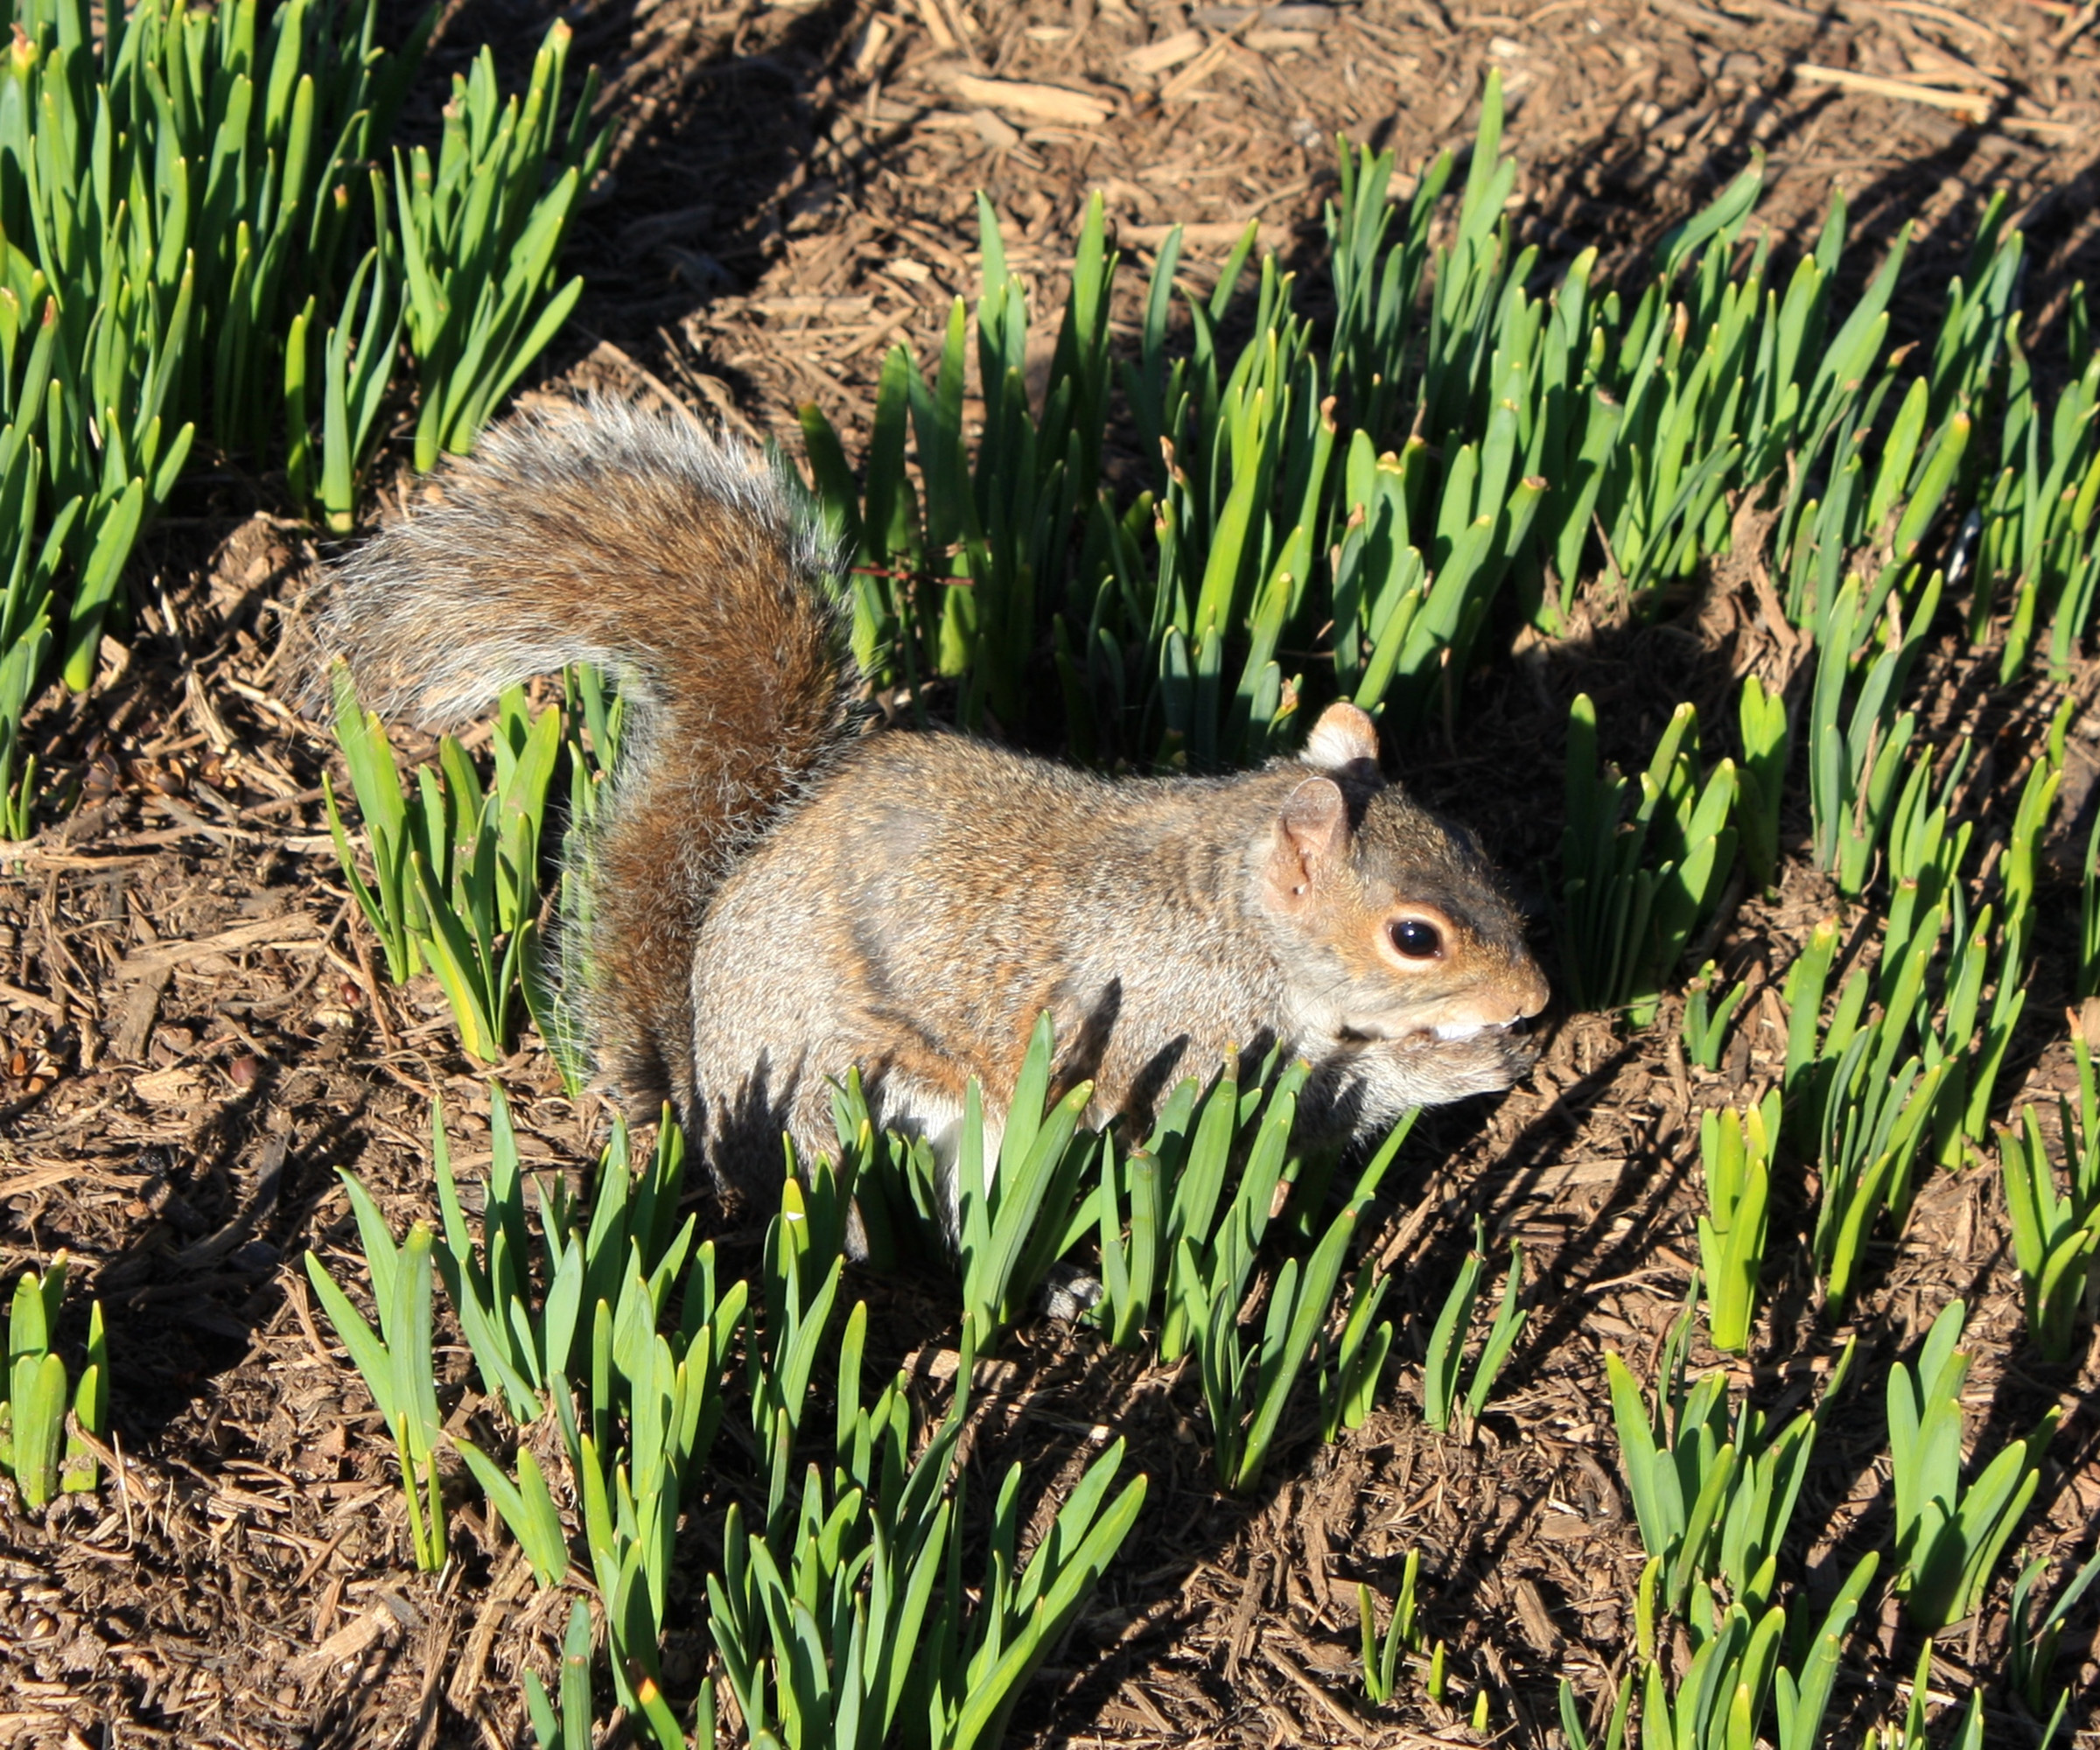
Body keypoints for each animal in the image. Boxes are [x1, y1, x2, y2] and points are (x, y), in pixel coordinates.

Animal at [313, 402, 1549, 1216]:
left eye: (1479, 844)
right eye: (1415, 936)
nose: (1536, 997)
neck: (1234, 913)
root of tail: (701, 1086)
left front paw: (1481, 1055)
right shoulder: (1176, 1025)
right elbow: (1261, 1114)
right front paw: (1465, 1059)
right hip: (861, 1092)